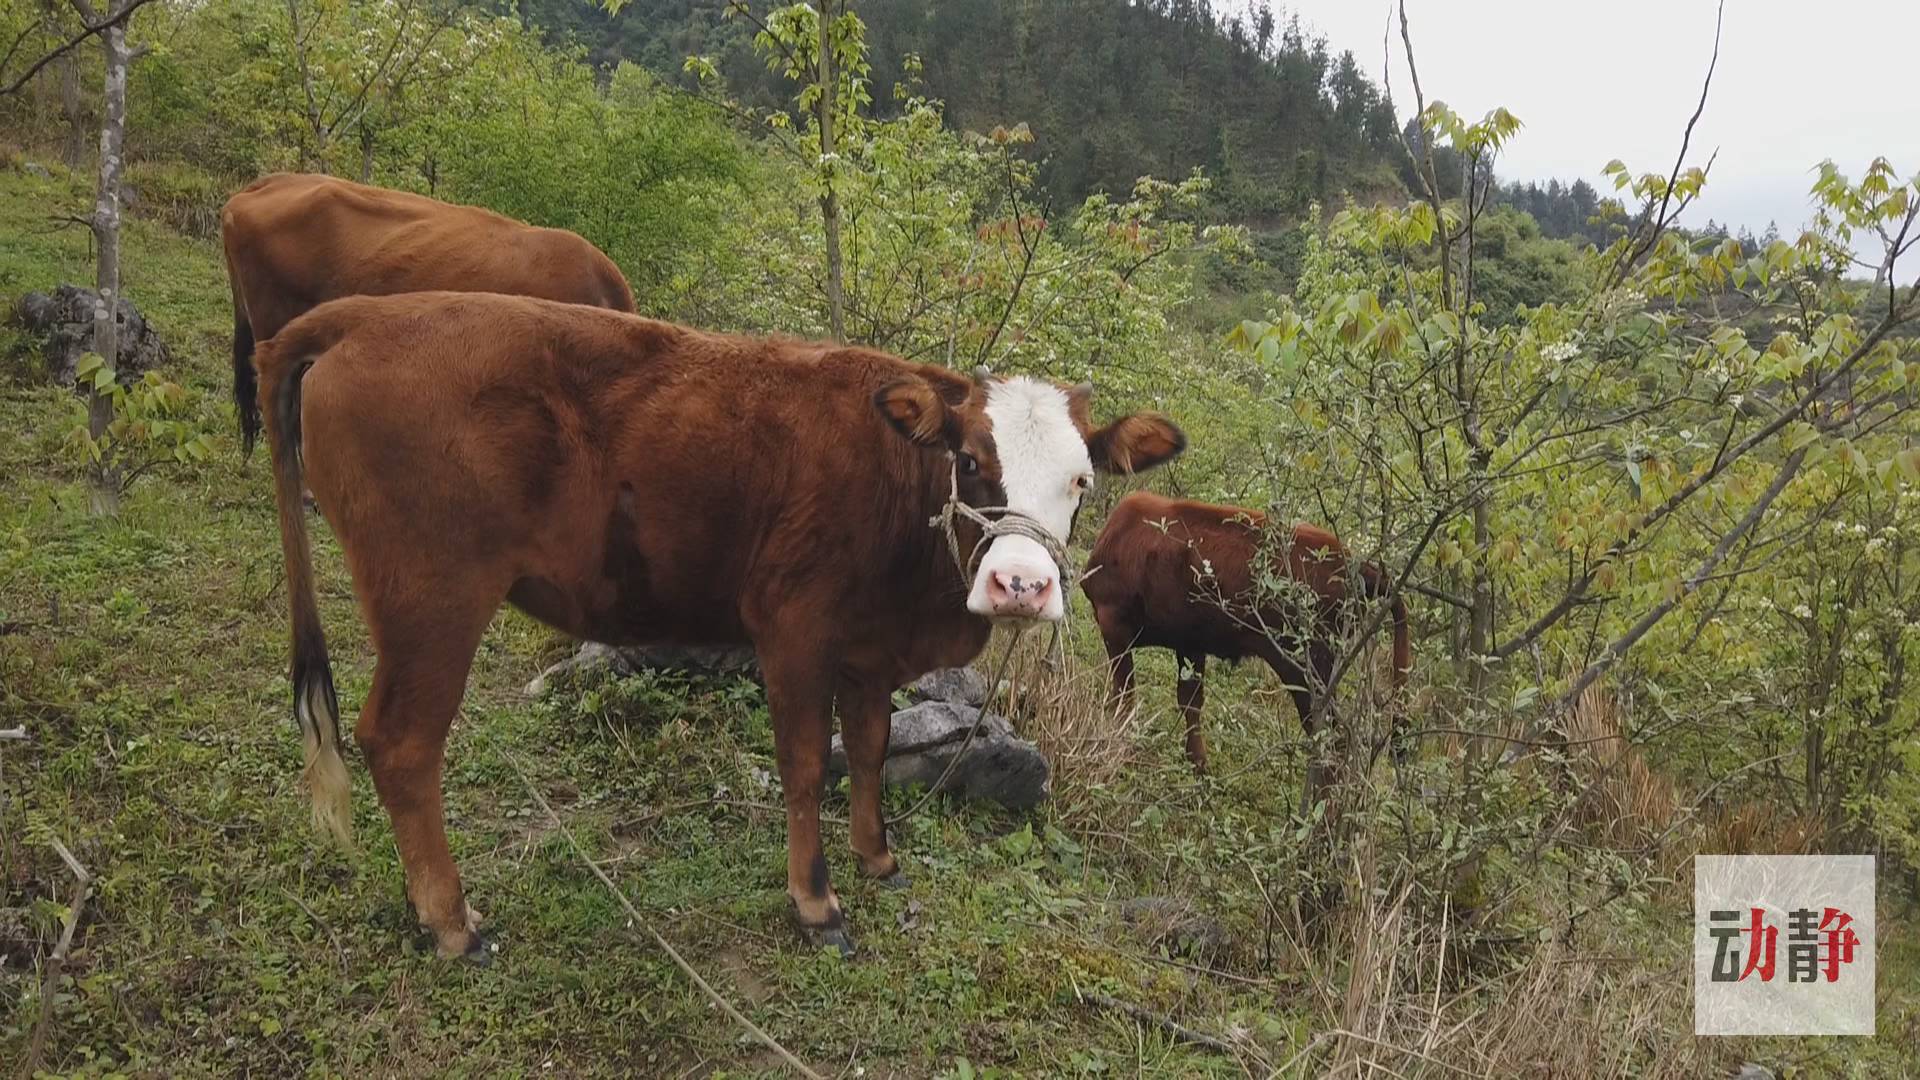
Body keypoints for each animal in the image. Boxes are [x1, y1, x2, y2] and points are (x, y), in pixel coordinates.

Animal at [255, 290, 1182, 953]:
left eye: (1082, 481)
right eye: (970, 460)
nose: (1021, 583)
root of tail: (371, 312)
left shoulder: (869, 648)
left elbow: (871, 749)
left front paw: (876, 857)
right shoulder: (793, 629)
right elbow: (808, 765)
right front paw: (816, 902)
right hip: (433, 596)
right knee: (401, 742)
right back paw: (451, 922)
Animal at [1082, 488, 1413, 772]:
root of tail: (1357, 566)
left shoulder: (1114, 624)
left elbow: (1124, 694)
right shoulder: (1189, 642)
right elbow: (1190, 702)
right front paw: (1197, 764)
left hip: (1306, 664)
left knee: (1332, 737)